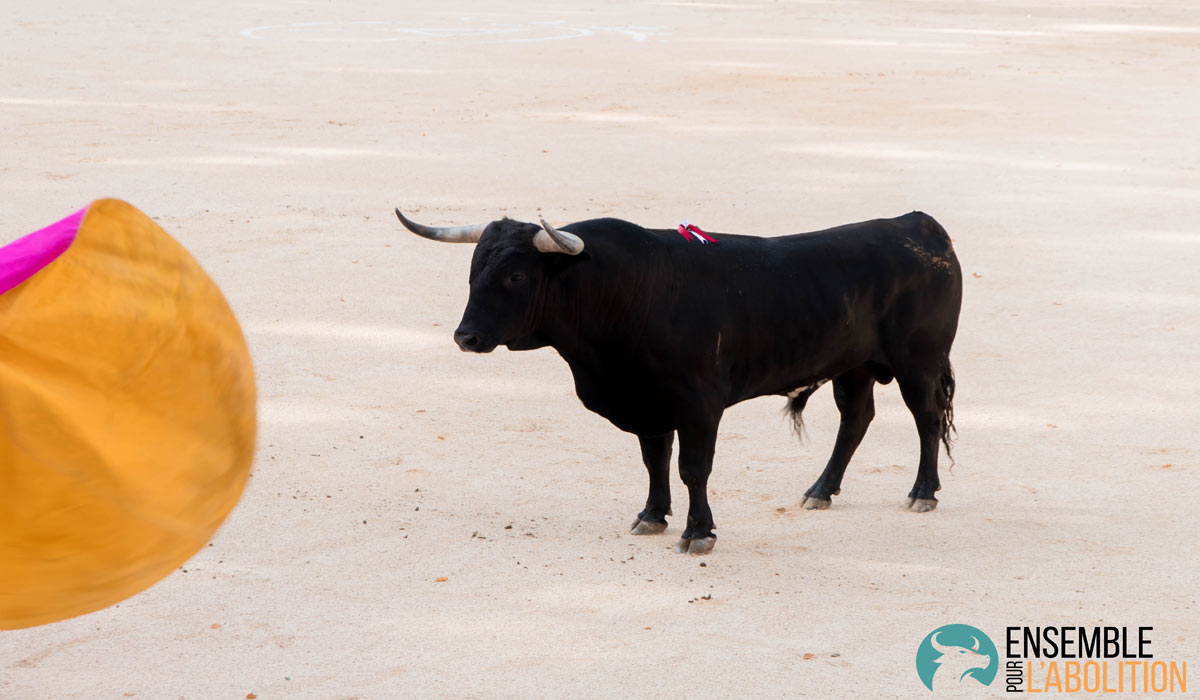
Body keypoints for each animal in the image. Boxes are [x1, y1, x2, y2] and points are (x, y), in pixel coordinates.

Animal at [398, 207, 960, 552]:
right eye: (473, 271)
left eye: (516, 275)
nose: (466, 337)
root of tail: (917, 224)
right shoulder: (646, 403)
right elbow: (654, 461)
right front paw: (652, 515)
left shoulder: (699, 405)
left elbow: (694, 467)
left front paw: (698, 532)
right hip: (854, 365)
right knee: (856, 418)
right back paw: (821, 489)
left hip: (919, 360)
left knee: (926, 418)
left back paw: (923, 492)